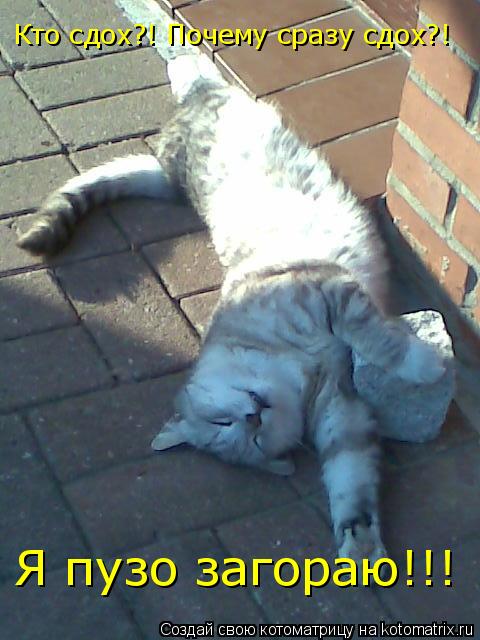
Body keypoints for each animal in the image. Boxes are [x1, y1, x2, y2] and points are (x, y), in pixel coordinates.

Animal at [17, 37, 445, 566]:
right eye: (247, 440)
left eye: (223, 420)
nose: (252, 416)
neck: (298, 373)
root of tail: (169, 172)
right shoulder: (343, 414)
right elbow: (351, 485)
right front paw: (359, 544)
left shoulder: (326, 293)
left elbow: (380, 340)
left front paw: (425, 364)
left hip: (215, 107)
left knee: (193, 74)